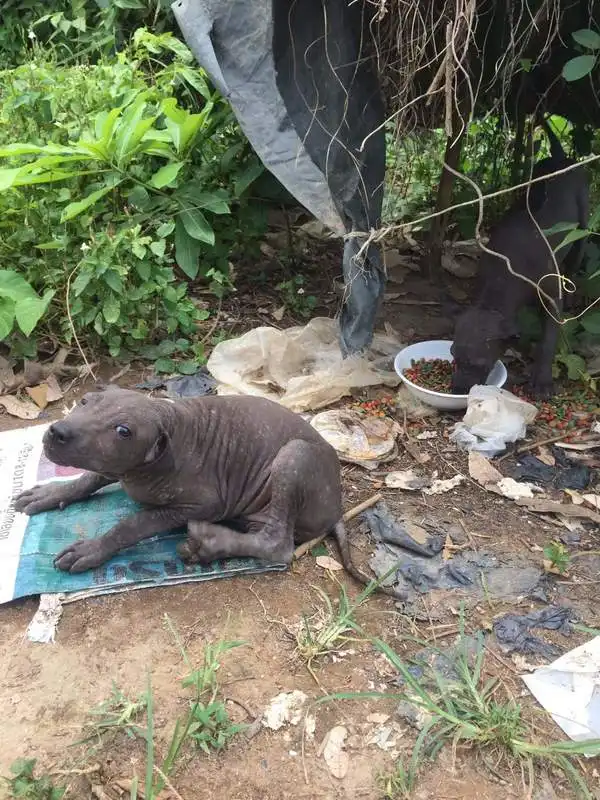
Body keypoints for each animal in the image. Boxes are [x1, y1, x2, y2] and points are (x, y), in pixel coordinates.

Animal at [15, 388, 394, 592]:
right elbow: (90, 478)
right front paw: (51, 493)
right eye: (84, 401)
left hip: (294, 457)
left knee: (278, 545)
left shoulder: (202, 504)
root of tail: (338, 508)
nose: (57, 432)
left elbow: (133, 524)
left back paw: (209, 544)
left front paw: (93, 548)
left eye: (123, 431)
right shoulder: (116, 469)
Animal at [452, 117, 588, 398]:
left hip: (582, 227)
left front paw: (543, 380)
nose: (458, 390)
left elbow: (548, 341)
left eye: (480, 364)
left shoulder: (551, 296)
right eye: (453, 356)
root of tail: (562, 159)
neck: (503, 278)